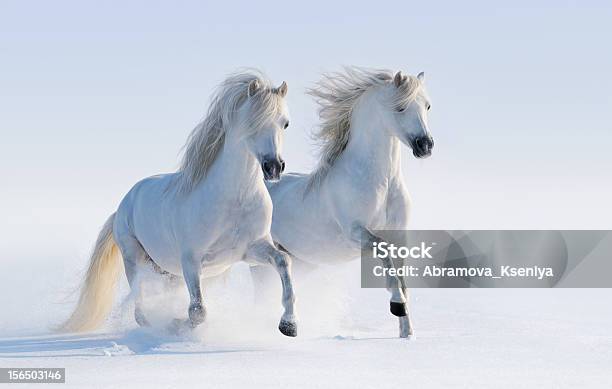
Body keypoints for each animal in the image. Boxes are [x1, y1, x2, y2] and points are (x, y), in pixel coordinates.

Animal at [61, 70, 298, 336]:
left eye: (285, 123)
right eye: (252, 122)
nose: (274, 167)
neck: (234, 200)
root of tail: (123, 205)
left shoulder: (252, 250)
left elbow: (284, 261)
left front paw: (289, 325)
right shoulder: (191, 260)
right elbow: (198, 311)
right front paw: (176, 325)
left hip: (167, 272)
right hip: (134, 259)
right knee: (139, 305)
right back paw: (153, 326)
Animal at [266, 66, 432, 336]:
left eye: (427, 106)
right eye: (400, 107)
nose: (425, 145)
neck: (382, 184)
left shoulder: (400, 237)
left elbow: (402, 278)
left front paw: (407, 334)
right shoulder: (356, 233)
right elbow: (384, 252)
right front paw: (396, 305)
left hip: (300, 261)